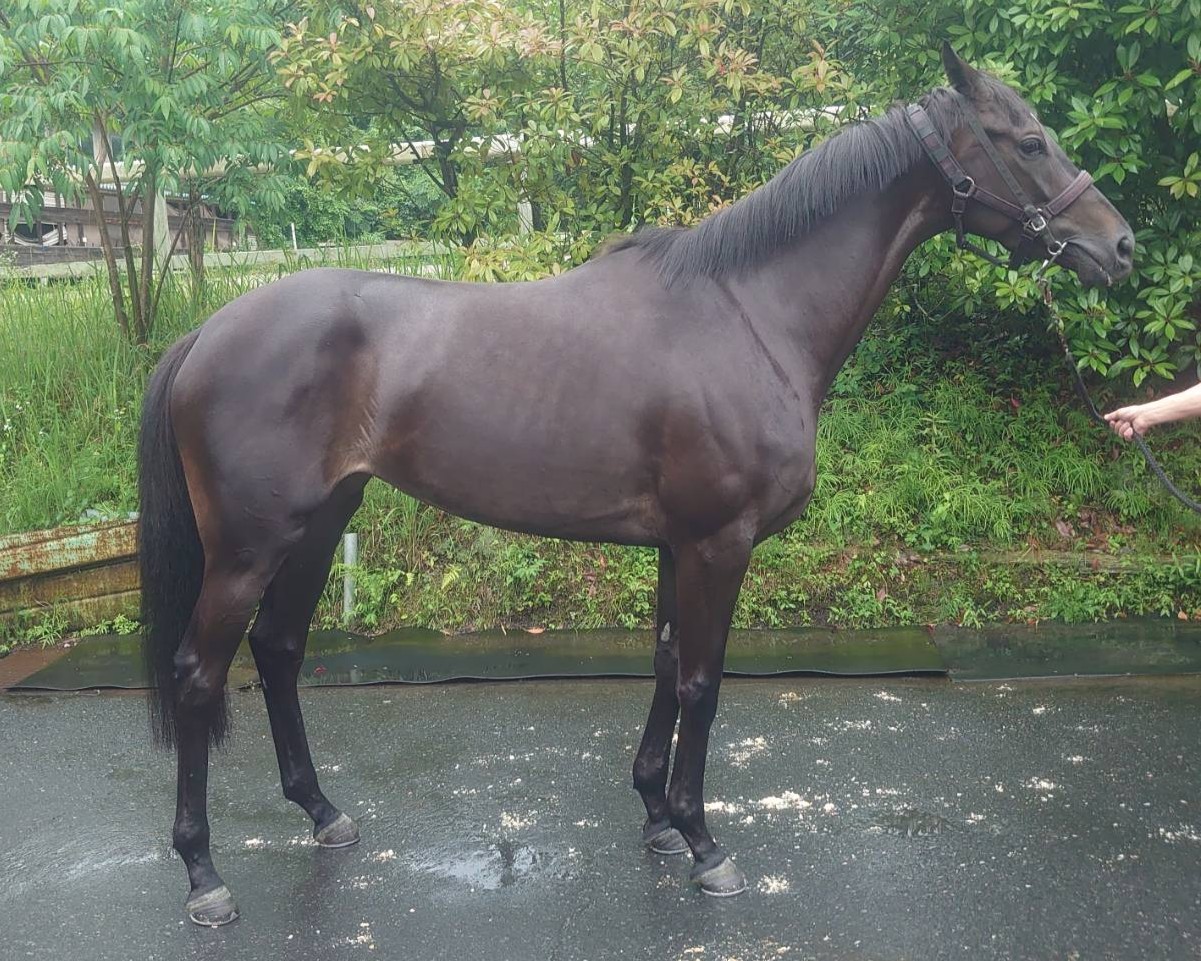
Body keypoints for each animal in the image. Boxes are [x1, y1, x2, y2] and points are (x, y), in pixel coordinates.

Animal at [138, 44, 1133, 925]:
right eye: (1027, 141)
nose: (1118, 247)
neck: (749, 313)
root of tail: (206, 332)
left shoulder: (673, 542)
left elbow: (662, 661)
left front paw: (656, 814)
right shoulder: (718, 542)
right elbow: (701, 680)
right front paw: (704, 843)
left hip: (318, 523)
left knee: (278, 651)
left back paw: (323, 813)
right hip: (250, 547)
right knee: (198, 675)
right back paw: (202, 874)